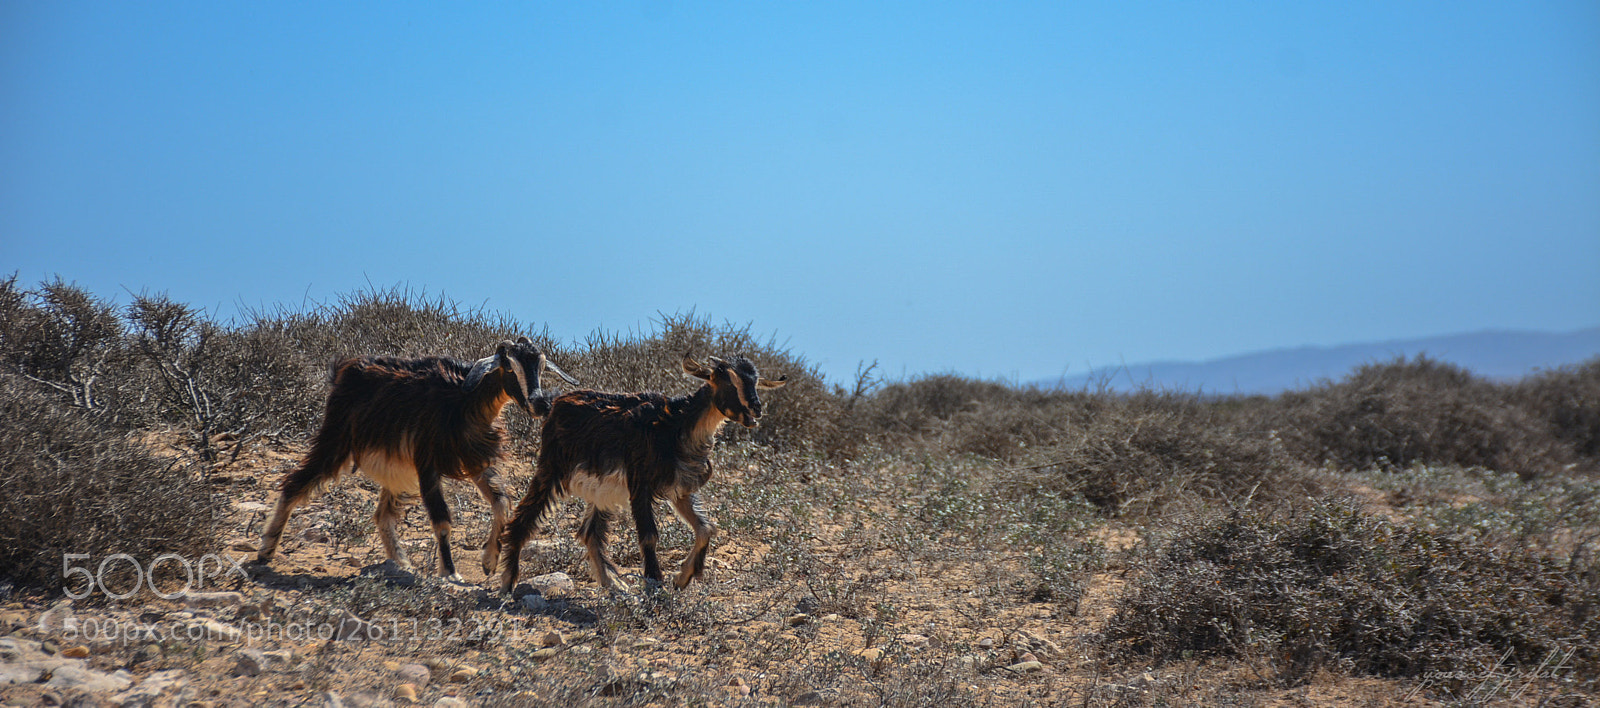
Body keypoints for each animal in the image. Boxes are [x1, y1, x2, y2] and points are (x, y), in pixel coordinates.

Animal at [253, 337, 578, 581]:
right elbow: (442, 519)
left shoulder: (474, 460)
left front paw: (489, 561)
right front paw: (450, 573)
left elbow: (501, 503)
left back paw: (401, 564)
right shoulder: (427, 463)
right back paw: (266, 550)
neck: (465, 399)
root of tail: (344, 369)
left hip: (395, 471)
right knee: (295, 483)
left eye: (541, 366)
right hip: (336, 439)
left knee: (382, 515)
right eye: (509, 367)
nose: (540, 403)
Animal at [498, 353, 786, 593]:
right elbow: (649, 536)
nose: (756, 410)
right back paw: (508, 581)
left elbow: (706, 528)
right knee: (523, 517)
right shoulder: (640, 484)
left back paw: (614, 584)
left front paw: (683, 577)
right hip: (552, 468)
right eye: (725, 380)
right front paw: (654, 583)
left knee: (590, 533)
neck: (677, 425)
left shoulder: (680, 489)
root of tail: (555, 404)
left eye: (755, 382)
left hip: (602, 487)